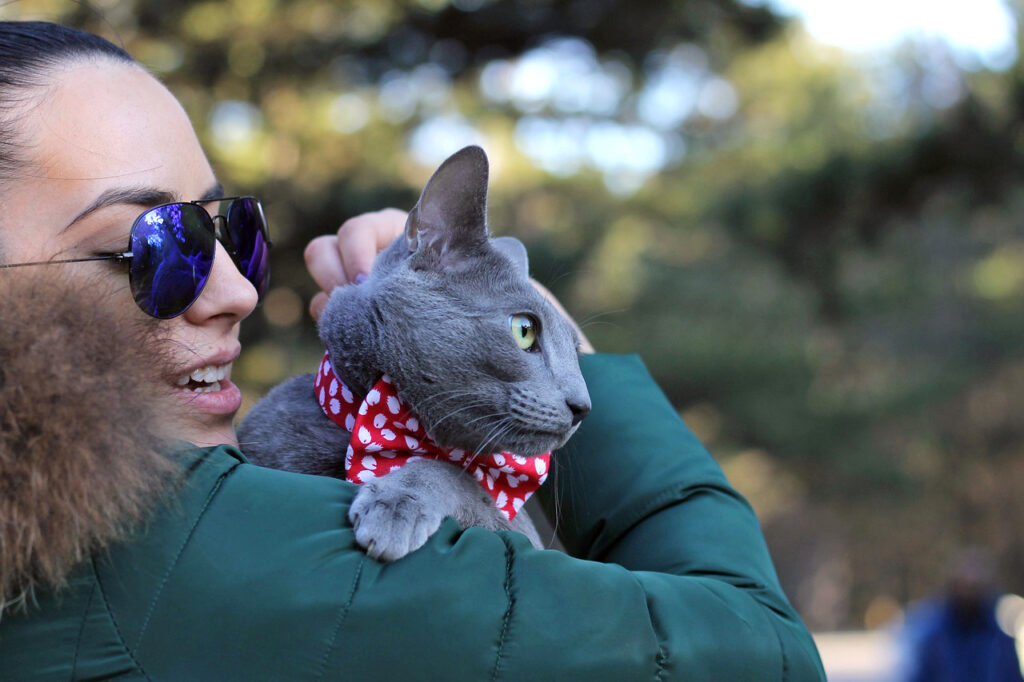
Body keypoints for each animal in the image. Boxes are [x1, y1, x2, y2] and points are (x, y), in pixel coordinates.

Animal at [238, 146, 589, 561]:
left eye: (576, 351)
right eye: (525, 330)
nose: (583, 406)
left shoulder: (520, 535)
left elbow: (456, 475)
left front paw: (393, 507)